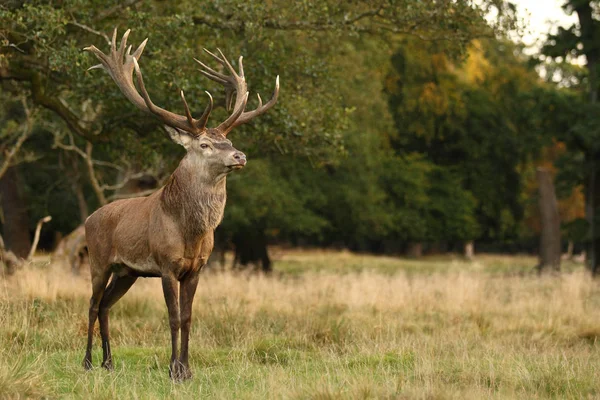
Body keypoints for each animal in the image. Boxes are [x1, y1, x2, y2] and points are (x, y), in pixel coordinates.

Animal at [82, 29, 278, 380]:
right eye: (205, 144)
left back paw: (109, 362)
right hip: (99, 260)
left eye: (229, 140)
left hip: (127, 271)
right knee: (91, 304)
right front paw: (173, 369)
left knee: (105, 305)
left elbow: (187, 317)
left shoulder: (197, 267)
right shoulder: (166, 264)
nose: (239, 155)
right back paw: (88, 362)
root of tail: (90, 218)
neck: (191, 232)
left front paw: (187, 369)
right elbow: (172, 317)